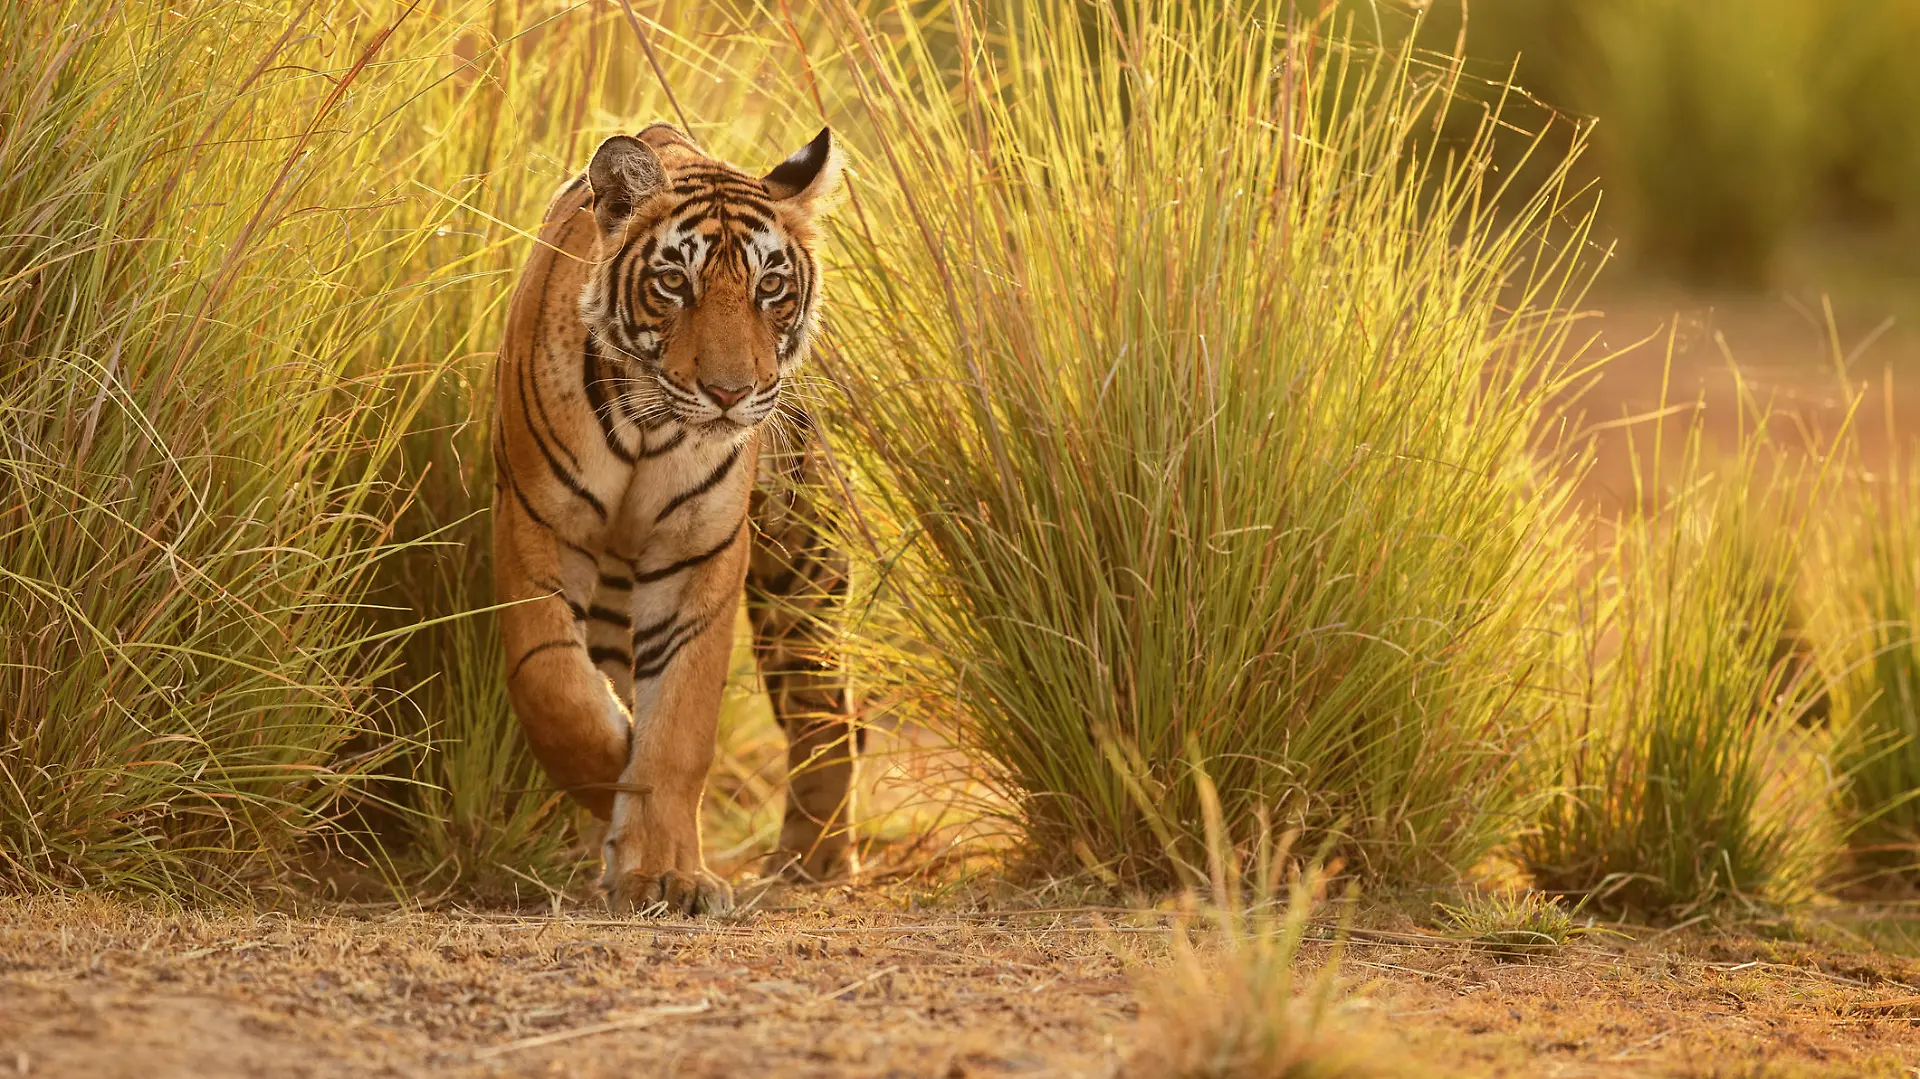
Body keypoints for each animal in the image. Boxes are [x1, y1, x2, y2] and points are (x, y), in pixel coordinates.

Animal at [491, 123, 856, 915]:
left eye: (769, 287)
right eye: (673, 283)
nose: (730, 392)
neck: (649, 425)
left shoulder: (698, 552)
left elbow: (680, 722)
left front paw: (665, 873)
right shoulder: (538, 523)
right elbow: (555, 686)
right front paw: (614, 778)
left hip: (803, 566)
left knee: (827, 709)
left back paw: (811, 859)